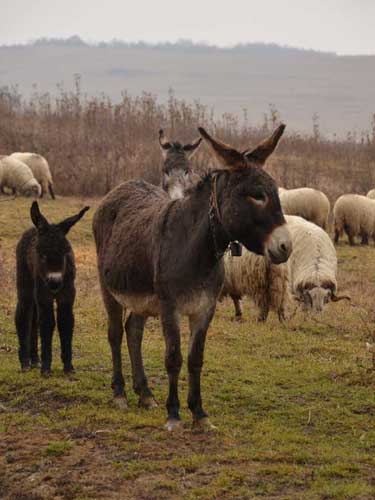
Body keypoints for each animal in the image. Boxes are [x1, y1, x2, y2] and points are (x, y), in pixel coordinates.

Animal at [16, 201, 90, 374]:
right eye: (41, 254)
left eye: (65, 252)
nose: (55, 283)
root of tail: (33, 229)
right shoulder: (44, 295)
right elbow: (47, 323)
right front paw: (46, 368)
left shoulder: (67, 295)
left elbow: (66, 323)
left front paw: (68, 367)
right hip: (27, 285)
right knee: (24, 315)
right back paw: (25, 362)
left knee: (33, 319)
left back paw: (34, 360)